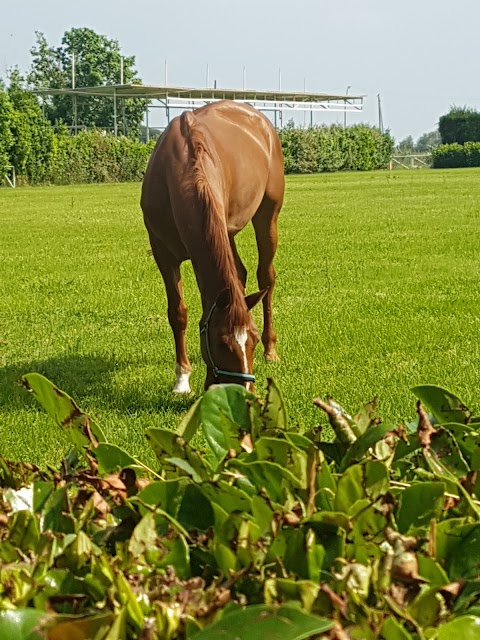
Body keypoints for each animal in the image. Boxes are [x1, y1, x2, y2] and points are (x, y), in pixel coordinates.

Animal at [141, 100, 286, 392]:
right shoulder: (163, 254)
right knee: (240, 273)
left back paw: (272, 350)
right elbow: (178, 313)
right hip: (227, 232)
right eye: (221, 342)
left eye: (252, 339)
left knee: (266, 276)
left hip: (267, 216)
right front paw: (182, 379)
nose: (244, 395)